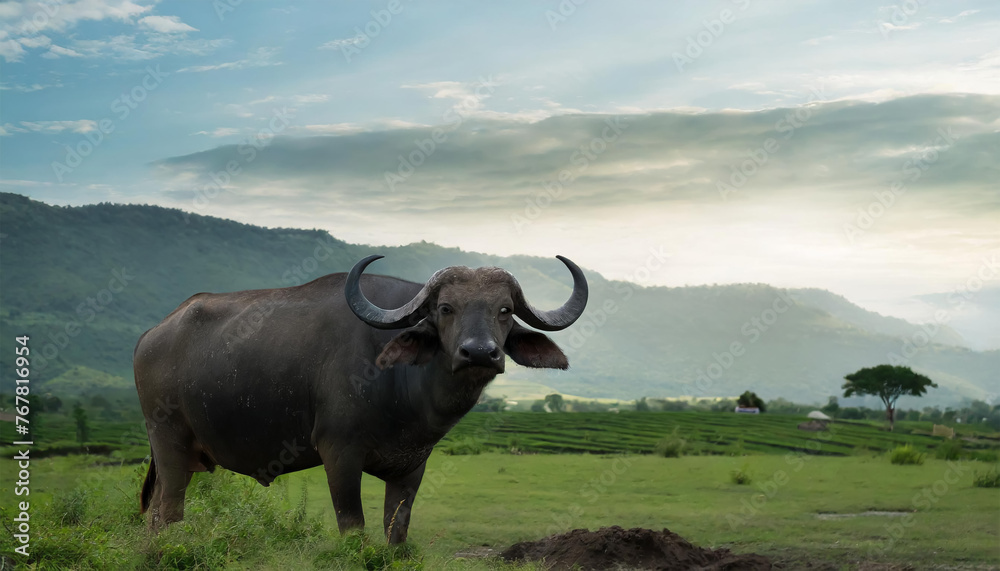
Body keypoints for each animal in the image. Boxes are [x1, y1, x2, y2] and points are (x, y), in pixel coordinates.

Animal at [133, 254, 588, 544]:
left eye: (505, 310)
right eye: (445, 308)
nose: (479, 353)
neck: (404, 391)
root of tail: (152, 334)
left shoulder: (413, 466)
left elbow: (396, 532)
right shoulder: (339, 453)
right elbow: (353, 527)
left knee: (153, 513)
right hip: (168, 444)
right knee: (168, 514)